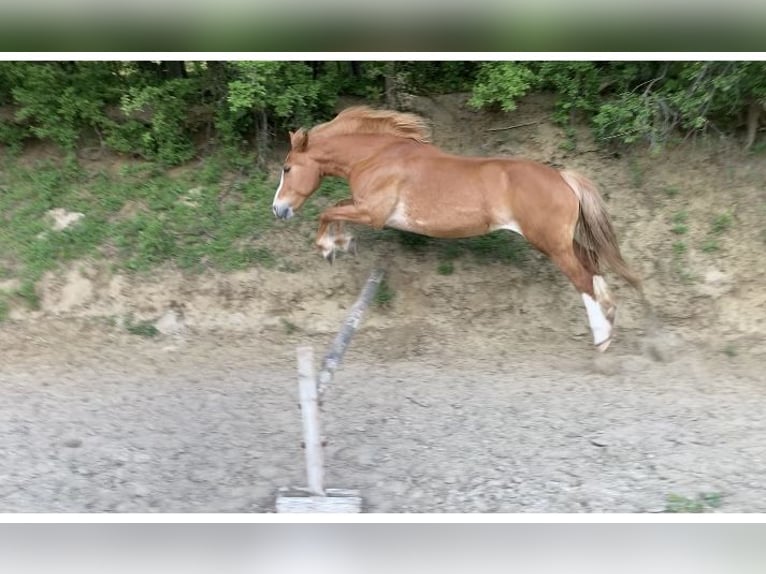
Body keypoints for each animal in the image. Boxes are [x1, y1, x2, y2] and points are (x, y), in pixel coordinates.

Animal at [272, 106, 640, 354]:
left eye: (287, 168)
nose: (278, 209)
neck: (377, 156)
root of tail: (563, 177)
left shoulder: (373, 213)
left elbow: (327, 211)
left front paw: (330, 247)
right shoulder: (365, 207)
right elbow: (335, 208)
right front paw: (342, 243)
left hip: (551, 244)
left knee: (583, 279)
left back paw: (602, 339)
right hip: (563, 241)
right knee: (592, 263)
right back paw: (611, 317)